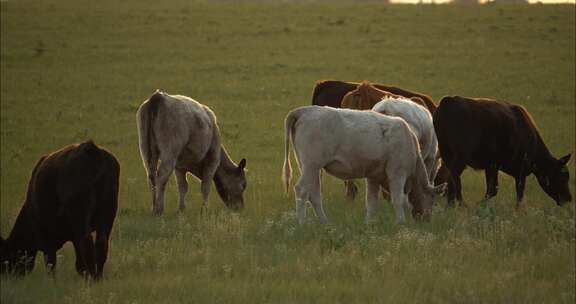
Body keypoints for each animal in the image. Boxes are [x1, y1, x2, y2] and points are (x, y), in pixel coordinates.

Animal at [0, 141, 119, 280]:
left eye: (6, 258)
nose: (8, 277)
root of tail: (89, 148)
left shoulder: (45, 235)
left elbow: (51, 262)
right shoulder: (72, 236)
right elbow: (78, 263)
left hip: (80, 215)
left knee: (87, 242)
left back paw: (92, 278)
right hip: (108, 212)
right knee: (101, 244)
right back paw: (98, 277)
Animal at [282, 106, 446, 223]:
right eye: (432, 199)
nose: (427, 219)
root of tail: (305, 110)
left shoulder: (373, 176)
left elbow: (371, 202)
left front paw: (369, 223)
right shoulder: (397, 173)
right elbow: (398, 199)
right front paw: (401, 222)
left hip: (310, 168)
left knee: (314, 194)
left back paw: (324, 222)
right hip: (311, 165)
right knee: (302, 190)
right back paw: (302, 223)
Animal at [434, 96, 568, 208]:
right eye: (562, 177)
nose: (568, 199)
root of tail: (448, 101)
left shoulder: (491, 166)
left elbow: (493, 189)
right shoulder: (518, 169)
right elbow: (509, 191)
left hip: (447, 154)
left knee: (451, 179)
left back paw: (452, 205)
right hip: (460, 157)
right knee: (454, 179)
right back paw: (461, 204)